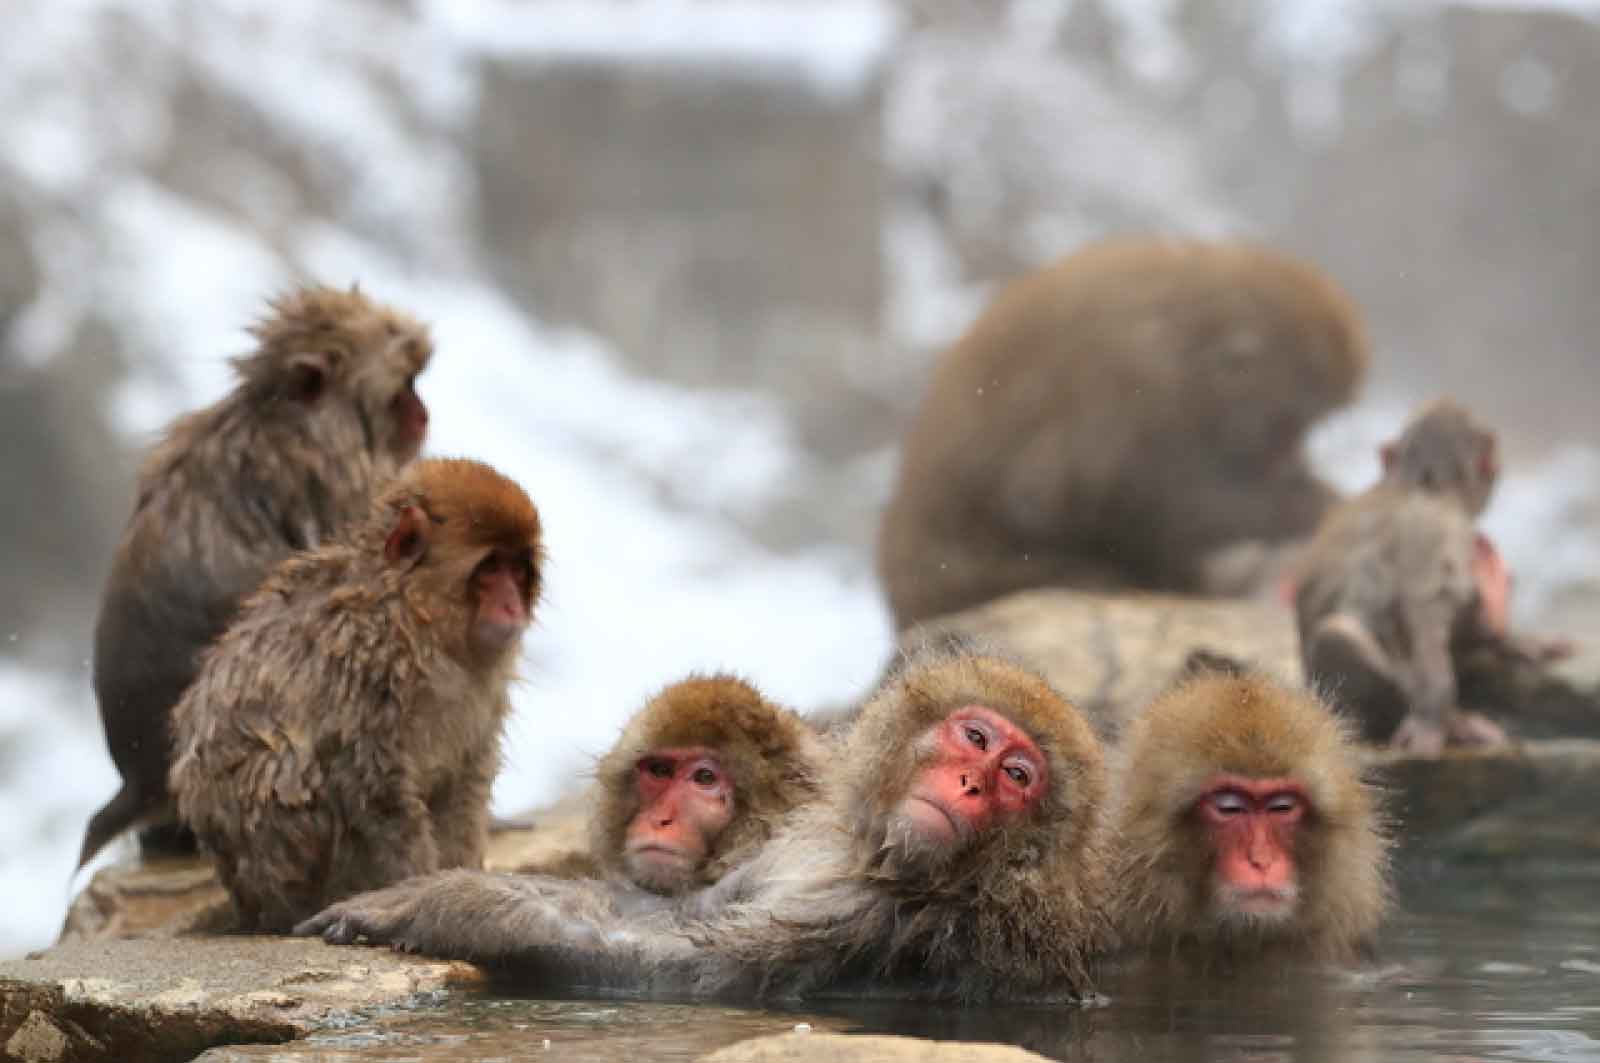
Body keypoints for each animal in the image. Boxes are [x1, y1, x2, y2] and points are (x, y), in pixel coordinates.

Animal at [169, 457, 542, 932]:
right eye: (492, 568)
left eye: (518, 569)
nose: (512, 605)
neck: (417, 617)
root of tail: (249, 902)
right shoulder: (367, 656)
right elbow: (373, 783)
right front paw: (414, 888)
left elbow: (464, 778)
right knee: (292, 766)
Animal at [297, 650, 1114, 1004]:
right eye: (975, 738)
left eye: (1018, 776)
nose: (973, 782)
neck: (878, 858)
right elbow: (678, 912)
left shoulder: (898, 920)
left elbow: (682, 964)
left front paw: (448, 906)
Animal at [877, 238, 1368, 632]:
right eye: (1292, 421)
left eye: (1307, 426)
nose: (1293, 461)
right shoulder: (1132, 394)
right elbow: (1125, 499)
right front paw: (1312, 504)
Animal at [1293, 399, 1567, 753]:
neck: (1420, 485)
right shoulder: (1438, 527)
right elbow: (1426, 609)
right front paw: (1432, 717)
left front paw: (1516, 640)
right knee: (1339, 635)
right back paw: (1451, 721)